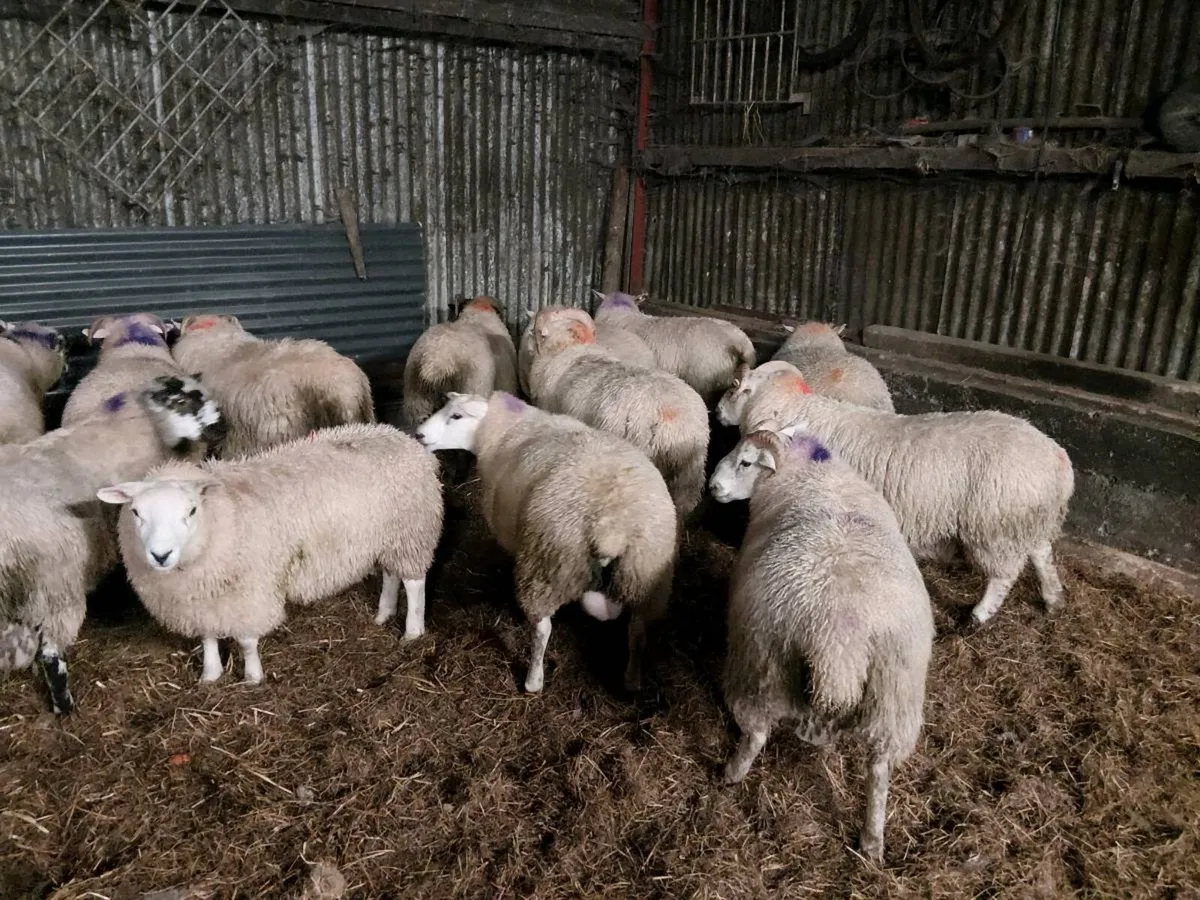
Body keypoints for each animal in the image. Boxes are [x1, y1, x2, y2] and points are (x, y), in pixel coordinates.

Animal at [0, 374, 225, 714]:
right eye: (181, 401)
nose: (222, 426)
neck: (148, 422)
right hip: (54, 586)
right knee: (51, 655)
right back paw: (64, 708)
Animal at [96, 422, 444, 686]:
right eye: (137, 513)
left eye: (191, 511)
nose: (160, 555)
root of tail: (399, 436)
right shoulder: (203, 599)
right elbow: (207, 637)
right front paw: (210, 674)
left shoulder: (250, 591)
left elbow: (247, 641)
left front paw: (252, 678)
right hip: (390, 537)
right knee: (391, 573)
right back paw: (383, 614)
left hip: (413, 530)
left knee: (414, 583)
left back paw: (412, 631)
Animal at [415, 391, 676, 694]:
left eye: (456, 416)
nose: (419, 434)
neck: (504, 429)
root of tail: (612, 527)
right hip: (646, 575)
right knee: (637, 628)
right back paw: (632, 679)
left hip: (546, 567)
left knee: (543, 629)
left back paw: (533, 680)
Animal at [708, 428, 934, 862]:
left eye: (744, 461)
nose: (713, 487)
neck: (809, 469)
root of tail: (839, 642)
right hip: (893, 699)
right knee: (879, 771)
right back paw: (871, 843)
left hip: (761, 668)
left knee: (756, 734)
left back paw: (729, 775)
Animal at [720, 366, 1075, 627]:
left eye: (736, 387)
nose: (719, 410)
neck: (798, 411)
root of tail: (1058, 459)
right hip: (1027, 518)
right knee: (1041, 552)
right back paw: (1053, 598)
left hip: (995, 525)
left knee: (1003, 574)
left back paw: (978, 616)